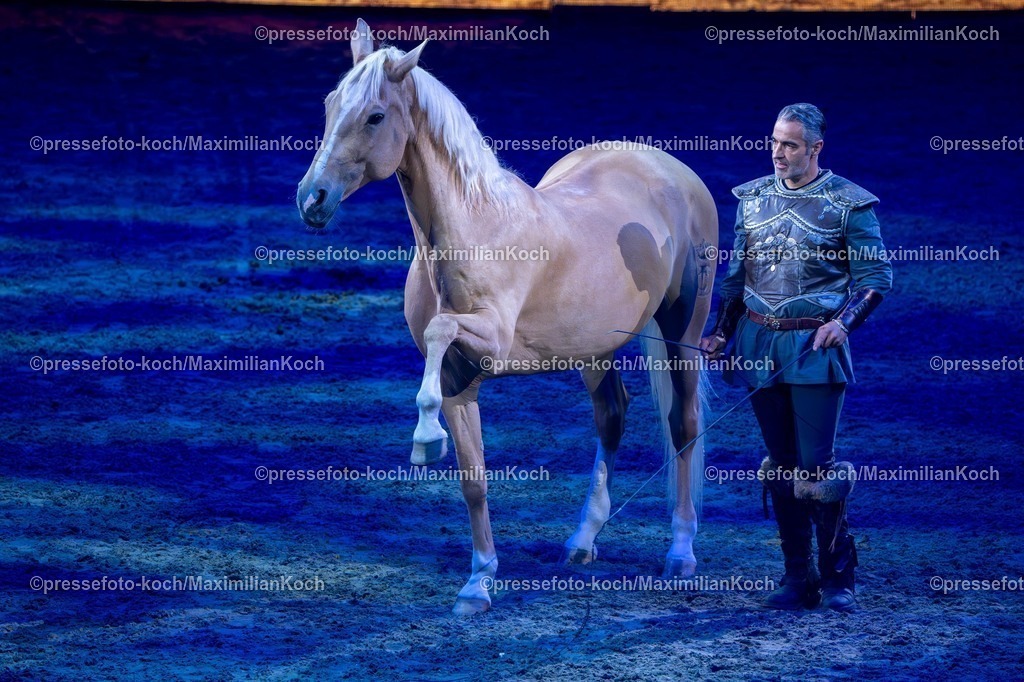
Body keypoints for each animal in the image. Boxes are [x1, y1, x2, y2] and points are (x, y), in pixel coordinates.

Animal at [296, 20, 718, 615]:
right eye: (331, 105)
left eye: (375, 115)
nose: (312, 199)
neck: (474, 231)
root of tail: (669, 168)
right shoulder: (459, 381)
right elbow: (473, 480)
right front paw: (479, 583)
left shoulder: (490, 345)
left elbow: (440, 329)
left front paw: (424, 437)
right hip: (593, 348)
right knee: (612, 416)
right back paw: (582, 540)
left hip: (684, 331)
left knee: (683, 425)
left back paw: (681, 553)